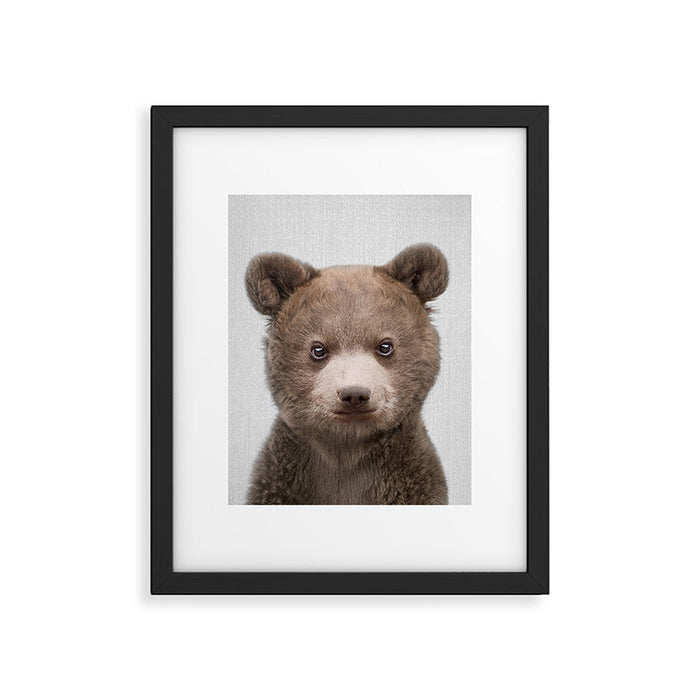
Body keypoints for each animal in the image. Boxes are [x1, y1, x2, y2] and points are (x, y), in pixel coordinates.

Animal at [244, 243, 449, 505]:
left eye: (385, 346)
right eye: (318, 349)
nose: (355, 394)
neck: (346, 449)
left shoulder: (412, 481)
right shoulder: (282, 480)